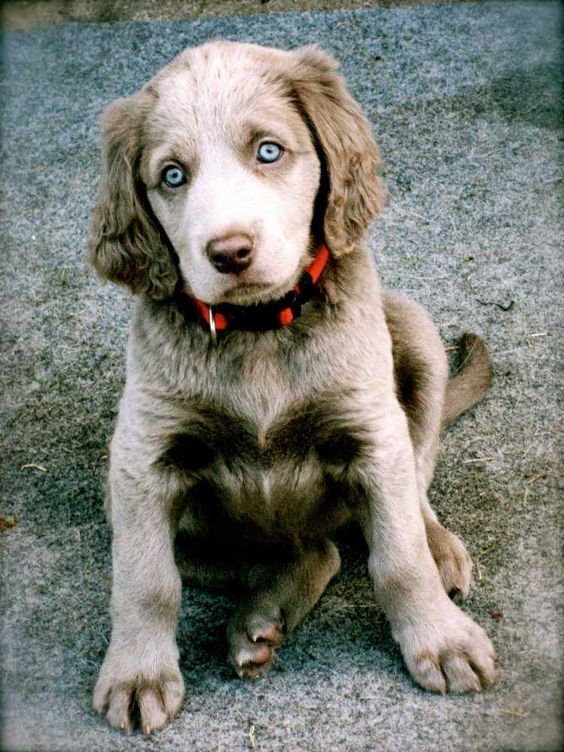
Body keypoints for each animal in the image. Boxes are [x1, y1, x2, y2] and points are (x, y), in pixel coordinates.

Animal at [87, 41, 494, 736]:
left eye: (269, 151)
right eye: (172, 176)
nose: (229, 252)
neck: (258, 331)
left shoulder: (372, 432)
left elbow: (399, 557)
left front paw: (440, 640)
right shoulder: (142, 458)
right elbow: (146, 579)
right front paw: (139, 674)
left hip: (412, 331)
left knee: (410, 492)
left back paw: (438, 547)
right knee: (312, 552)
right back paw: (260, 618)